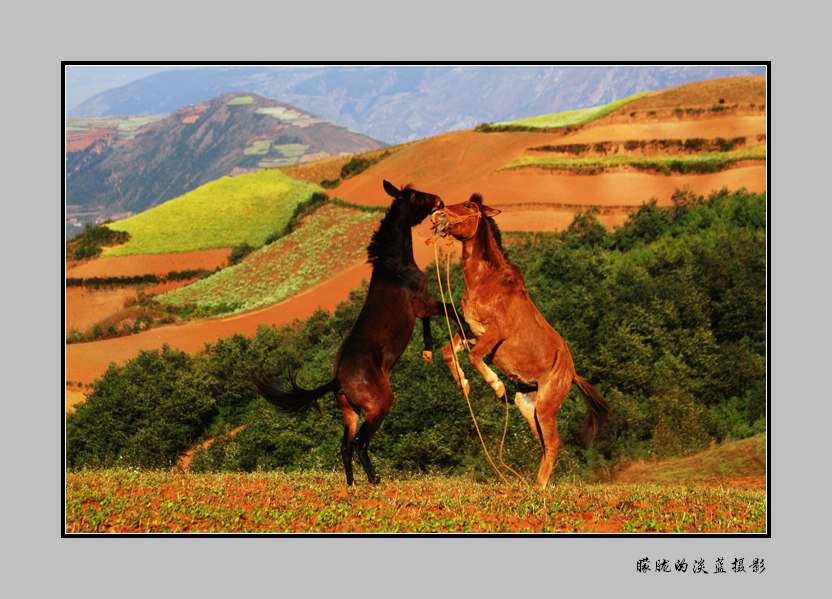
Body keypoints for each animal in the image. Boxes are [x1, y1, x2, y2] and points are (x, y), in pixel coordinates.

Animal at [252, 180, 468, 486]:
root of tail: (337, 381)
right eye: (416, 196)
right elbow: (451, 309)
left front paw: (427, 350)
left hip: (350, 412)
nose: (439, 201)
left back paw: (352, 485)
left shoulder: (421, 308)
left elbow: (432, 321)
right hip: (378, 406)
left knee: (344, 446)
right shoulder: (423, 303)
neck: (395, 266)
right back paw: (375, 481)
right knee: (359, 443)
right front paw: (467, 335)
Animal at [436, 195, 604, 490]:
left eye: (468, 206)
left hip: (546, 407)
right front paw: (463, 385)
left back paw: (538, 488)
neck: (486, 283)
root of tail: (572, 374)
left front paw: (497, 387)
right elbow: (449, 351)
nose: (440, 214)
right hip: (528, 405)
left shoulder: (496, 332)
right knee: (545, 444)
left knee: (554, 444)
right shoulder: (472, 331)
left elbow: (474, 357)